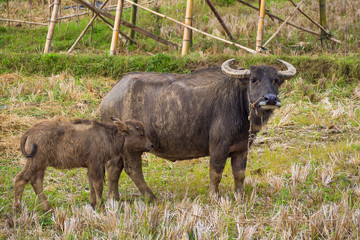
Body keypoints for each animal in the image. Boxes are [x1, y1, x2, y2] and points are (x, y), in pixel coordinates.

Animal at [14, 117, 153, 211]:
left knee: (36, 182)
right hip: (35, 162)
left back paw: (47, 208)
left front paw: (93, 204)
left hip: (41, 165)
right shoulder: (96, 164)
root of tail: (29, 132)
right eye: (141, 134)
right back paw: (17, 208)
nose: (151, 145)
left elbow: (91, 184)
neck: (107, 136)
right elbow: (98, 185)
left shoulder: (91, 166)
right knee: (21, 179)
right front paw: (101, 206)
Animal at [100, 58, 296, 201]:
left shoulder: (242, 149)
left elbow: (239, 174)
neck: (240, 105)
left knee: (114, 168)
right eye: (254, 80)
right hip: (132, 147)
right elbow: (216, 172)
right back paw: (151, 197)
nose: (270, 98)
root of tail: (109, 97)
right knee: (133, 169)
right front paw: (214, 197)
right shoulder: (218, 146)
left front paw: (239, 197)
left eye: (276, 80)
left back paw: (114, 198)